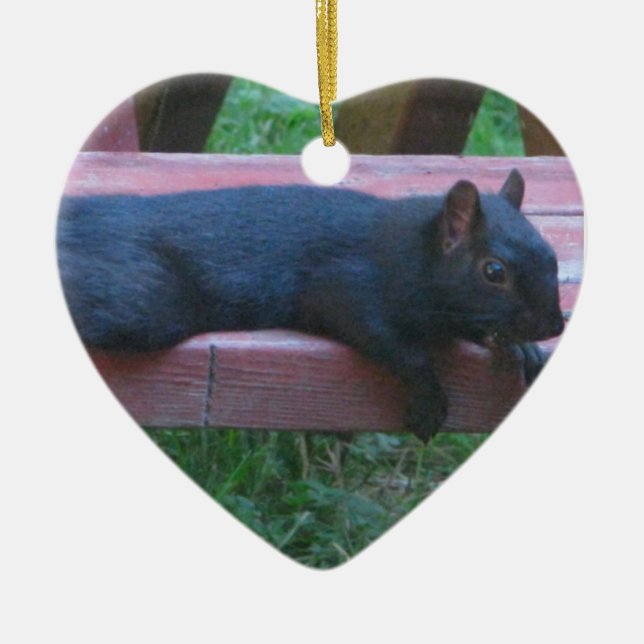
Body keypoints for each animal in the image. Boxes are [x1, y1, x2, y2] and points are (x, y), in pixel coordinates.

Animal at [57, 169, 564, 442]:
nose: (553, 325)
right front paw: (429, 400)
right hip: (140, 301)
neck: (409, 249)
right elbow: (397, 345)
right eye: (493, 271)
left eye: (552, 253)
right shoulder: (342, 284)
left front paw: (519, 348)